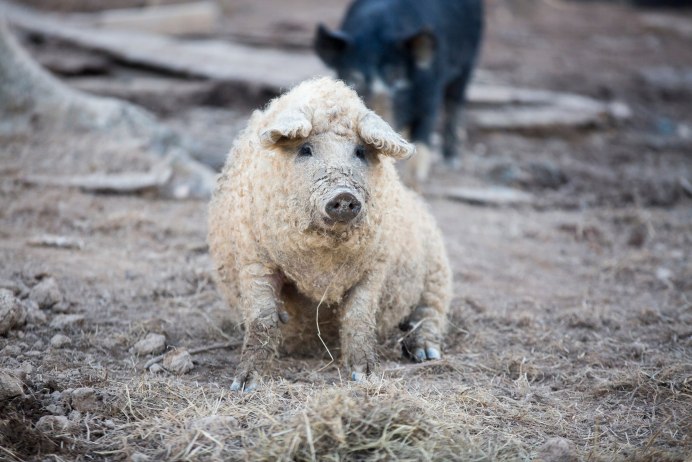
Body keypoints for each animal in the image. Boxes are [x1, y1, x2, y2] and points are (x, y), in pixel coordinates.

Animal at [316, 0, 484, 181]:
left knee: (455, 102)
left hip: (468, 61)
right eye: (354, 78)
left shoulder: (430, 95)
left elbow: (421, 145)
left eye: (396, 76)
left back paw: (451, 160)